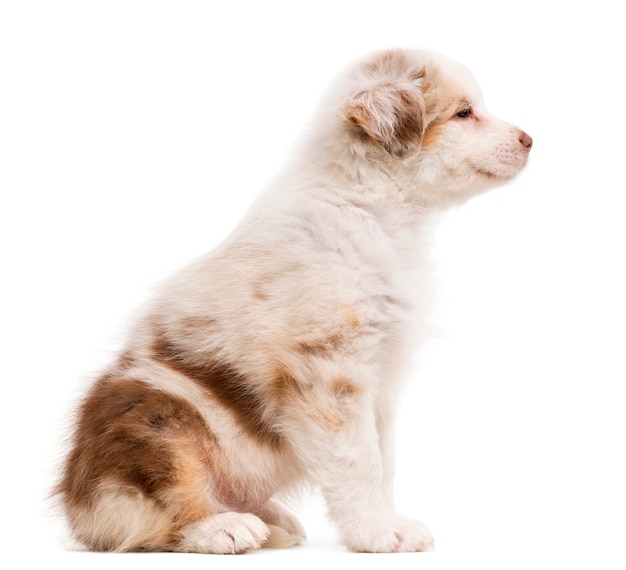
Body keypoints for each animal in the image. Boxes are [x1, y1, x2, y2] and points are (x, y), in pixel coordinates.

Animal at [56, 46, 528, 552]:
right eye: (464, 113)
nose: (530, 140)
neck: (373, 208)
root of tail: (76, 506)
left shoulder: (379, 379)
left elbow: (384, 460)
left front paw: (389, 521)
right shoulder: (329, 373)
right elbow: (361, 462)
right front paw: (378, 532)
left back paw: (271, 520)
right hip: (159, 417)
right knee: (157, 511)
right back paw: (223, 526)